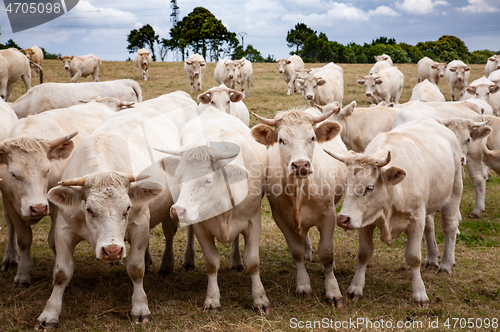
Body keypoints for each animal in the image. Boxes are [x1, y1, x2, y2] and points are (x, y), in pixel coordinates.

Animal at [0, 103, 116, 286]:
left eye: (47, 170)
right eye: (13, 174)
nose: (38, 208)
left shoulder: (57, 206)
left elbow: (54, 242)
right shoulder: (10, 202)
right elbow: (24, 239)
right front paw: (23, 274)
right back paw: (10, 258)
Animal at [159, 107, 270, 314]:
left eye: (208, 180)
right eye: (179, 177)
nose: (177, 211)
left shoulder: (253, 221)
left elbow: (253, 261)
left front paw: (260, 299)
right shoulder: (202, 227)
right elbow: (211, 262)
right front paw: (212, 299)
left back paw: (236, 261)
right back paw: (189, 259)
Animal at [254, 108, 348, 306]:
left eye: (312, 138)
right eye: (281, 140)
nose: (300, 165)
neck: (300, 190)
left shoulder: (329, 215)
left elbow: (326, 252)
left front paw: (333, 290)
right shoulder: (281, 218)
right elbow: (296, 251)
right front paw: (303, 286)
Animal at [326, 118, 462, 306]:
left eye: (369, 187)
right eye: (345, 184)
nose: (342, 219)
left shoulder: (416, 219)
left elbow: (413, 257)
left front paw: (420, 293)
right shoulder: (364, 222)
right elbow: (364, 254)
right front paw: (356, 287)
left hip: (454, 190)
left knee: (449, 226)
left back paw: (446, 265)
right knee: (430, 227)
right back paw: (433, 258)